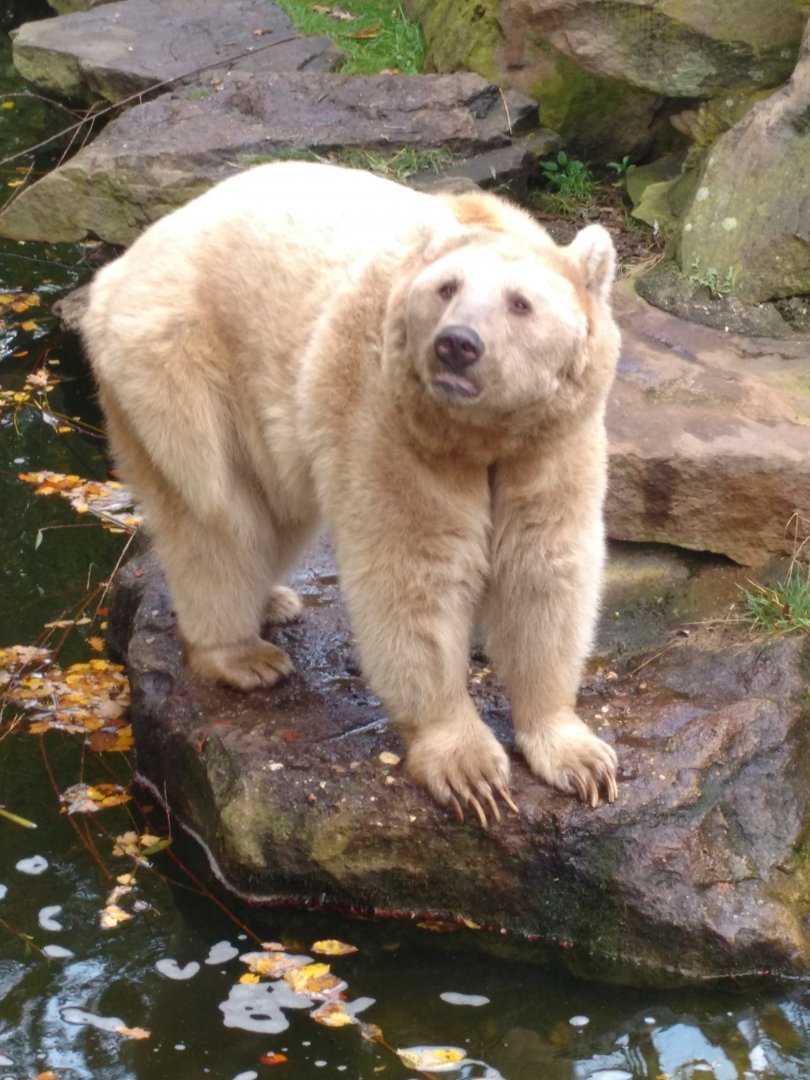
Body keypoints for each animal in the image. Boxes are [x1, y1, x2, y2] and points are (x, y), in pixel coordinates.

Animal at [80, 160, 620, 825]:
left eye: (521, 303)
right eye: (447, 288)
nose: (457, 344)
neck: (480, 435)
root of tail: (115, 270)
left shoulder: (553, 441)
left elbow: (544, 571)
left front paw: (581, 758)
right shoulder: (388, 420)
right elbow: (414, 574)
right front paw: (470, 771)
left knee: (276, 516)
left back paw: (273, 600)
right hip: (183, 368)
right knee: (220, 516)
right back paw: (243, 653)